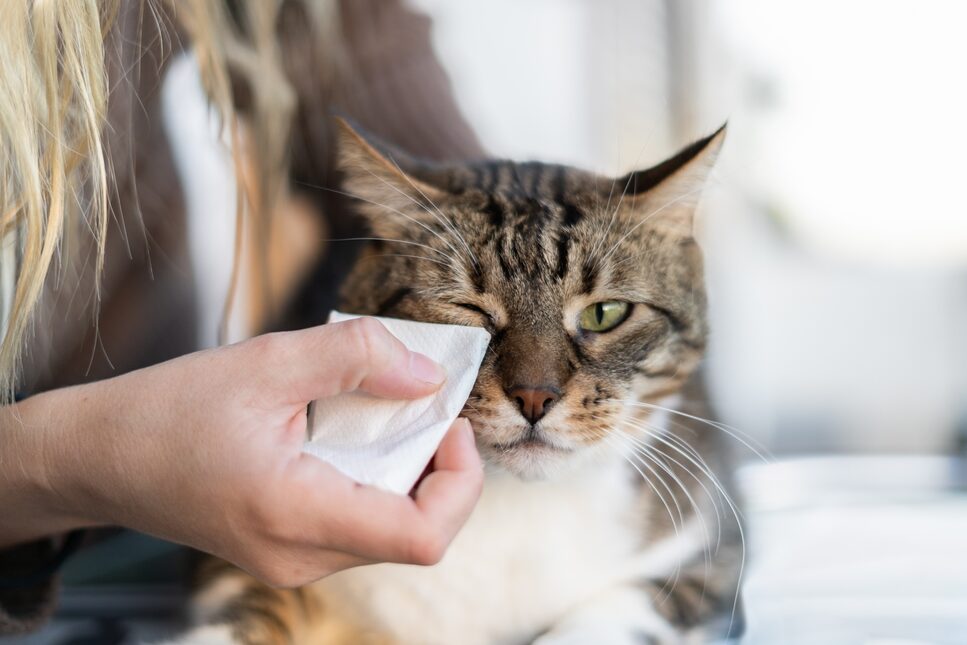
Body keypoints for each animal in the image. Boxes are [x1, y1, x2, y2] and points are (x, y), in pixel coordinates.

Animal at [180, 122, 740, 644]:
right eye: (468, 310)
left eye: (604, 313)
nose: (534, 396)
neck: (512, 510)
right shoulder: (231, 566)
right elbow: (238, 607)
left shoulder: (711, 556)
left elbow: (612, 614)